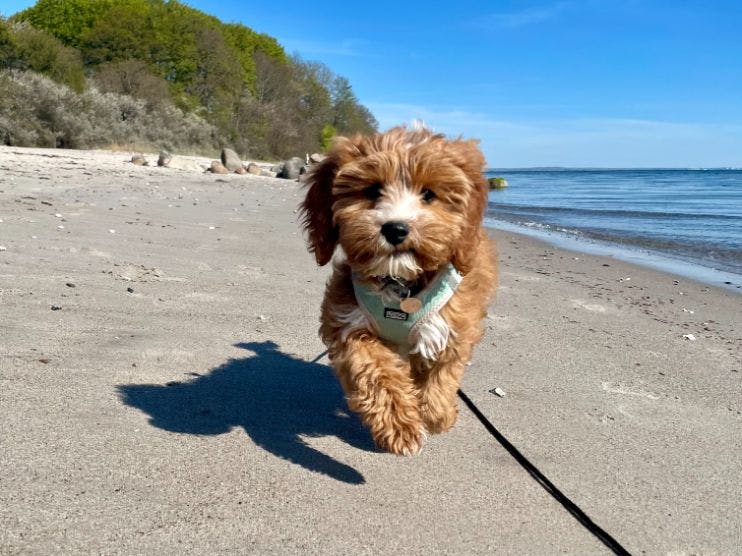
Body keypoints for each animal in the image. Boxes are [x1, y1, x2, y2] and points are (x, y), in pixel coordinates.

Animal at [302, 126, 500, 456]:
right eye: (372, 190)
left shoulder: (451, 327)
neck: (400, 283)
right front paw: (400, 426)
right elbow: (375, 371)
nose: (395, 229)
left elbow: (443, 376)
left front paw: (438, 415)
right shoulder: (350, 323)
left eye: (428, 194)